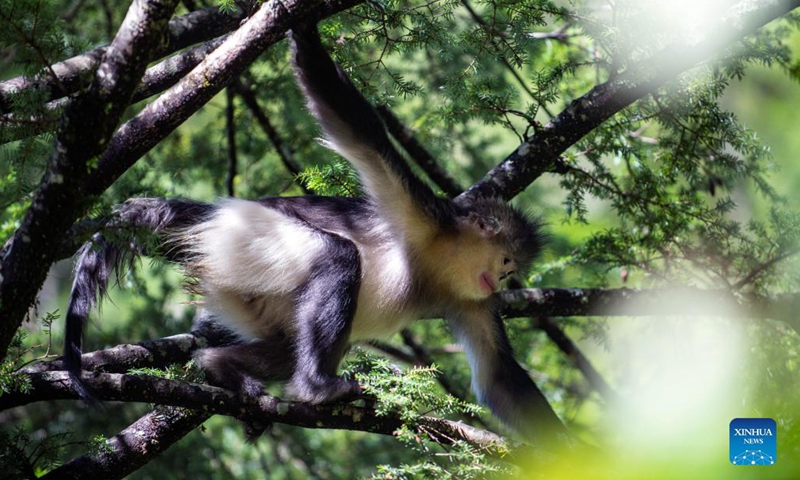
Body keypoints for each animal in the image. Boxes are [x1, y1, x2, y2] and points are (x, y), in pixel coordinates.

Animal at [63, 21, 569, 447]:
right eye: (507, 263)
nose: (503, 280)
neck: (441, 261)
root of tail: (211, 215)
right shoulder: (426, 217)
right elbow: (357, 127)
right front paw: (302, 27)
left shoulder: (471, 300)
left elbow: (498, 376)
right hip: (250, 236)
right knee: (339, 257)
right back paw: (316, 387)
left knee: (286, 343)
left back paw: (221, 368)